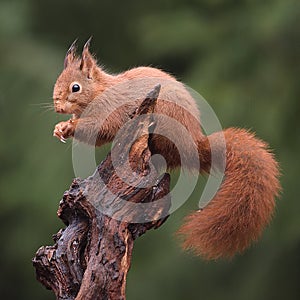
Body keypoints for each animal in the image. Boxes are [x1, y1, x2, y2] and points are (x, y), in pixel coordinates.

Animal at [52, 38, 280, 260]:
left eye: (75, 87)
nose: (58, 107)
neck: (100, 91)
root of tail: (193, 146)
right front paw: (60, 128)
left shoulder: (111, 109)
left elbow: (101, 128)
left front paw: (70, 126)